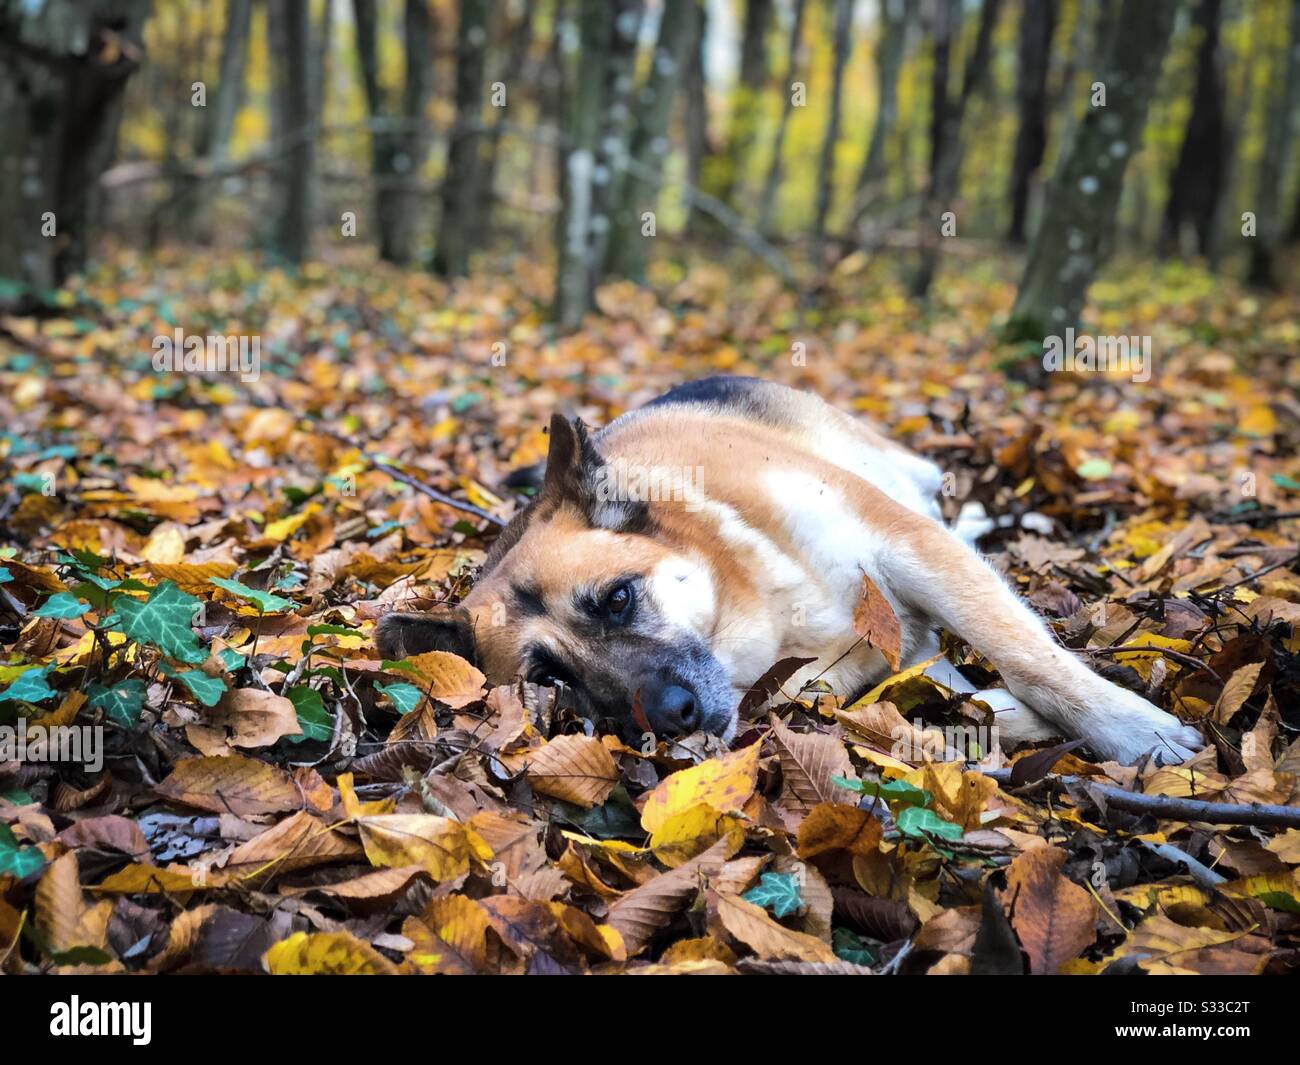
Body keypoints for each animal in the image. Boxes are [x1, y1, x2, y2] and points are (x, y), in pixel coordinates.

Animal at [377, 374, 1196, 764]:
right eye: (549, 679)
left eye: (616, 600)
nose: (669, 718)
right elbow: (928, 699)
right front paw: (990, 715)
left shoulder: (908, 548)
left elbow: (1029, 657)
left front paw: (1133, 730)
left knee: (946, 510)